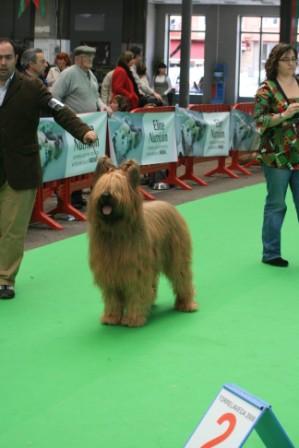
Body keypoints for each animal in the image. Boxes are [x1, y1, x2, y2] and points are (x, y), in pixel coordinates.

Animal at [88, 157, 198, 326]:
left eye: (118, 187)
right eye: (102, 185)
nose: (105, 195)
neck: (116, 231)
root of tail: (168, 205)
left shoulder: (135, 271)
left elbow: (136, 293)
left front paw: (133, 319)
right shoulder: (110, 272)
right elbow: (112, 297)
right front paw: (111, 317)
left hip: (176, 257)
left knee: (182, 278)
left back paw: (186, 304)